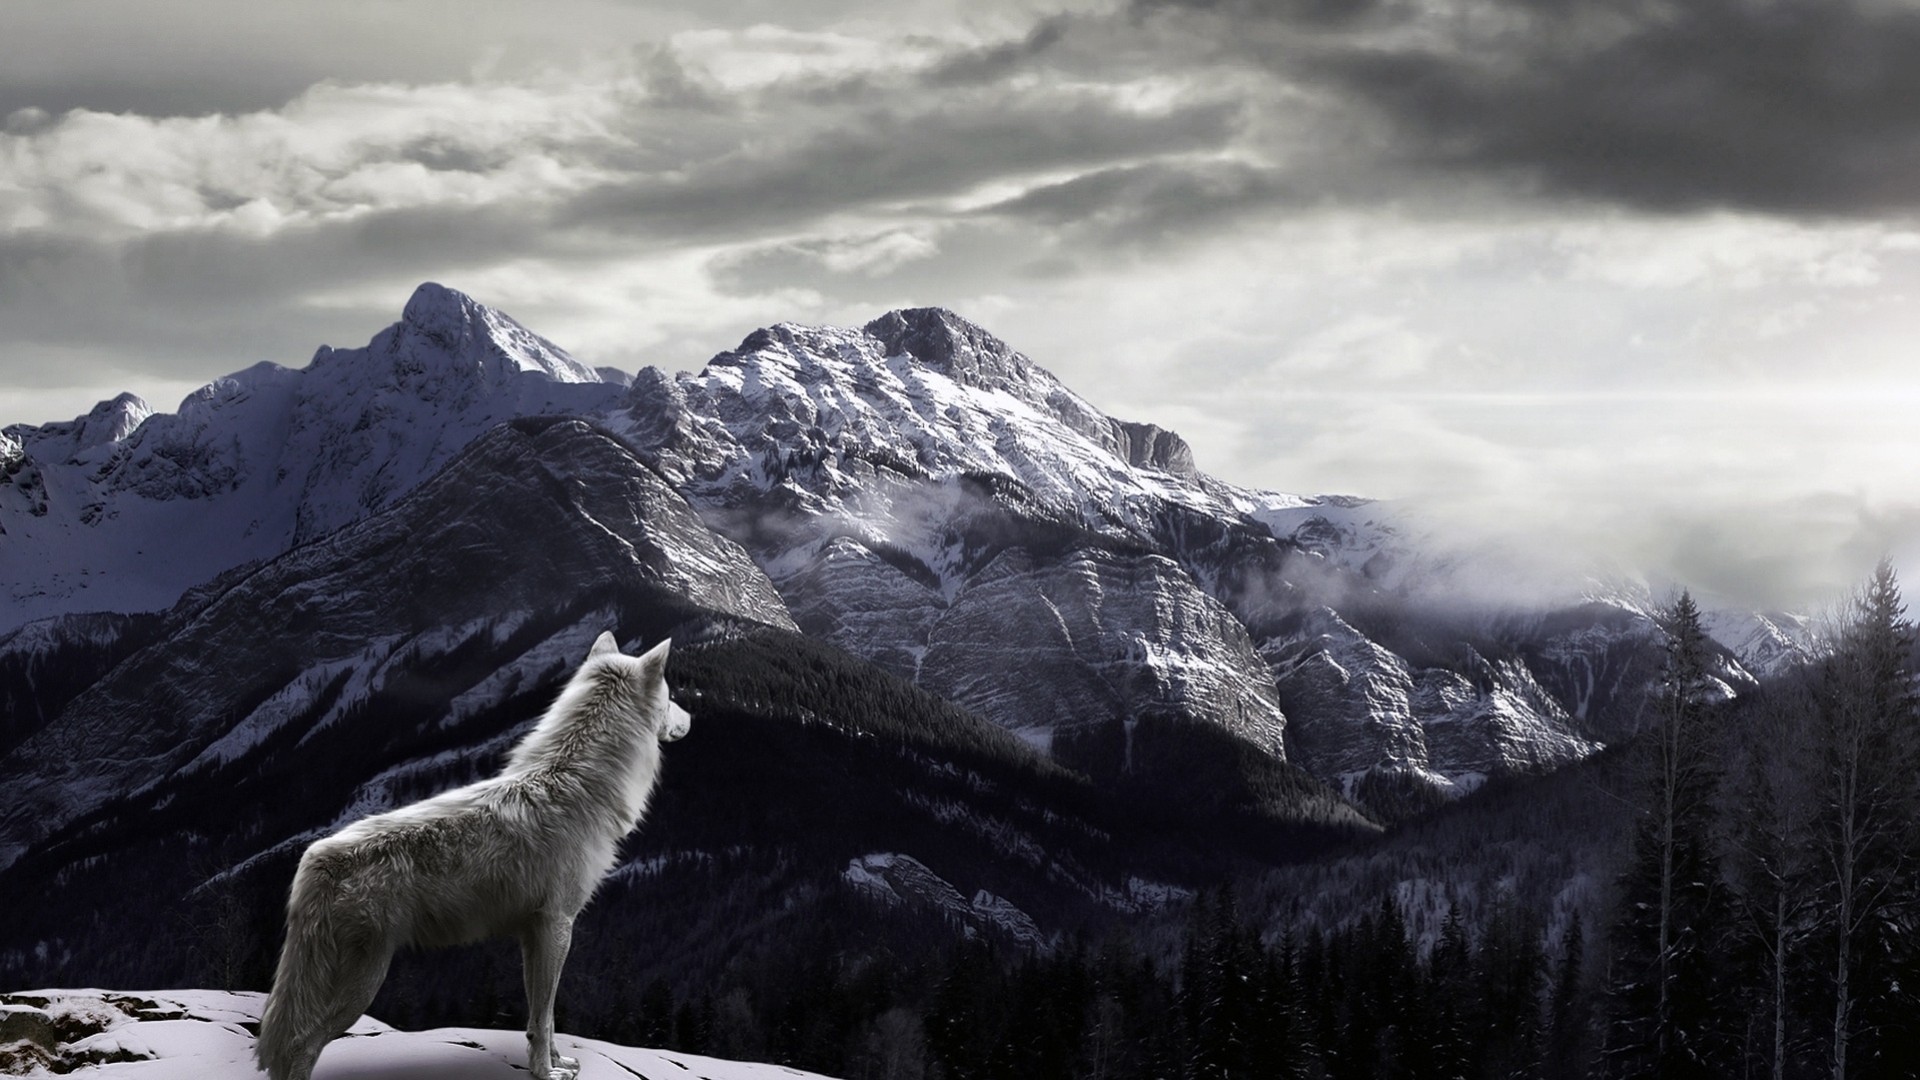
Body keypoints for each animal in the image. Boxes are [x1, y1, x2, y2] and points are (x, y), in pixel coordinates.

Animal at [254, 632, 691, 1080]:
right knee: (300, 1046)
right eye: (671, 696)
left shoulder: (534, 933)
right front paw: (545, 1072)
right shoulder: (558, 925)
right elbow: (545, 1015)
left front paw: (556, 1061)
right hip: (361, 984)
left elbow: (543, 1017)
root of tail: (316, 858)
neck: (577, 785)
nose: (690, 717)